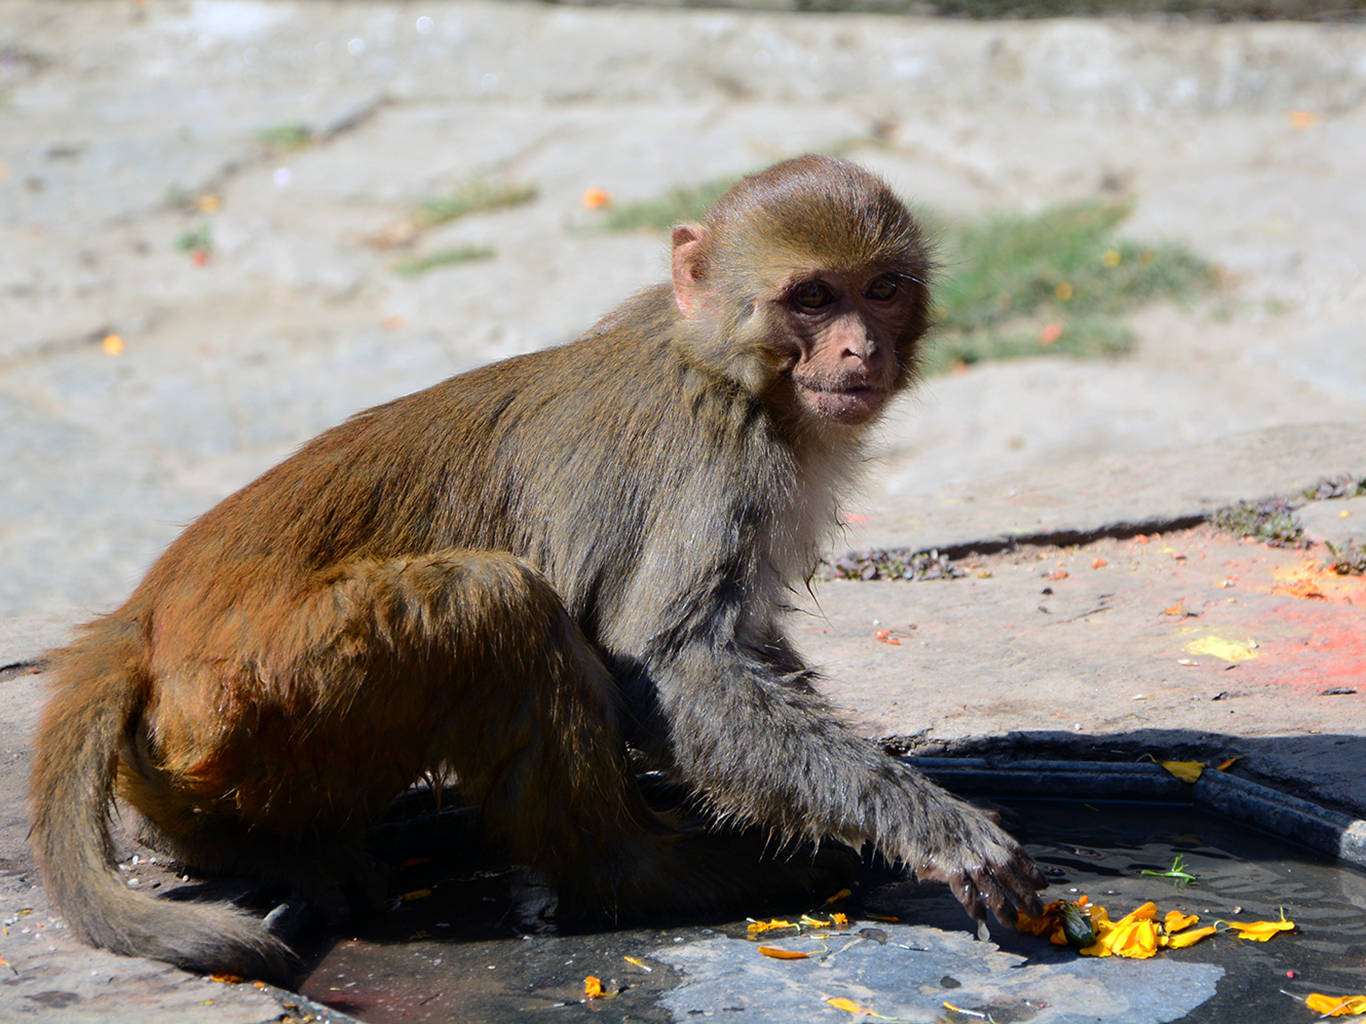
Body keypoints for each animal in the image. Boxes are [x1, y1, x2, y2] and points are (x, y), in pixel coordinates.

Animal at [29, 154, 1043, 988]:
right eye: (812, 297)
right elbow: (671, 665)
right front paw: (928, 825)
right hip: (259, 693)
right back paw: (641, 875)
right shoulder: (723, 463)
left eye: (882, 289)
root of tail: (141, 617)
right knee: (499, 599)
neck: (729, 369)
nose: (859, 349)